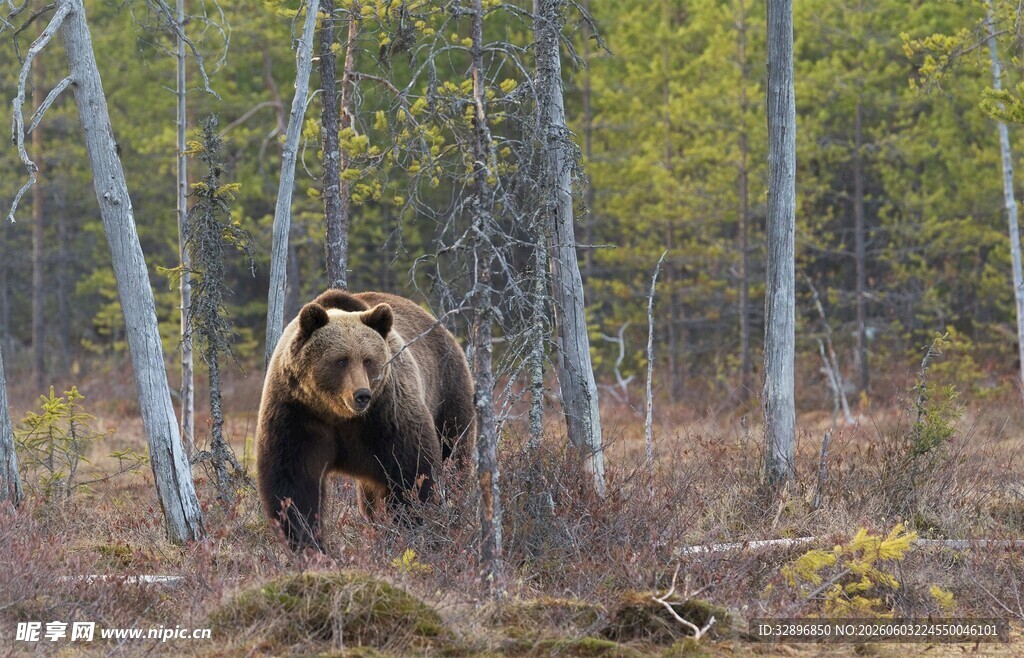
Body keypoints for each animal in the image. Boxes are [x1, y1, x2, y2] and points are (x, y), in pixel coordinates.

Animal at [256, 289, 475, 550]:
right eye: (341, 360)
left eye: (368, 360)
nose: (362, 395)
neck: (337, 414)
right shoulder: (297, 413)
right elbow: (293, 481)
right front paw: (308, 542)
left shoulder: (387, 414)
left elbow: (412, 472)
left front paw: (407, 530)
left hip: (447, 393)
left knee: (454, 455)